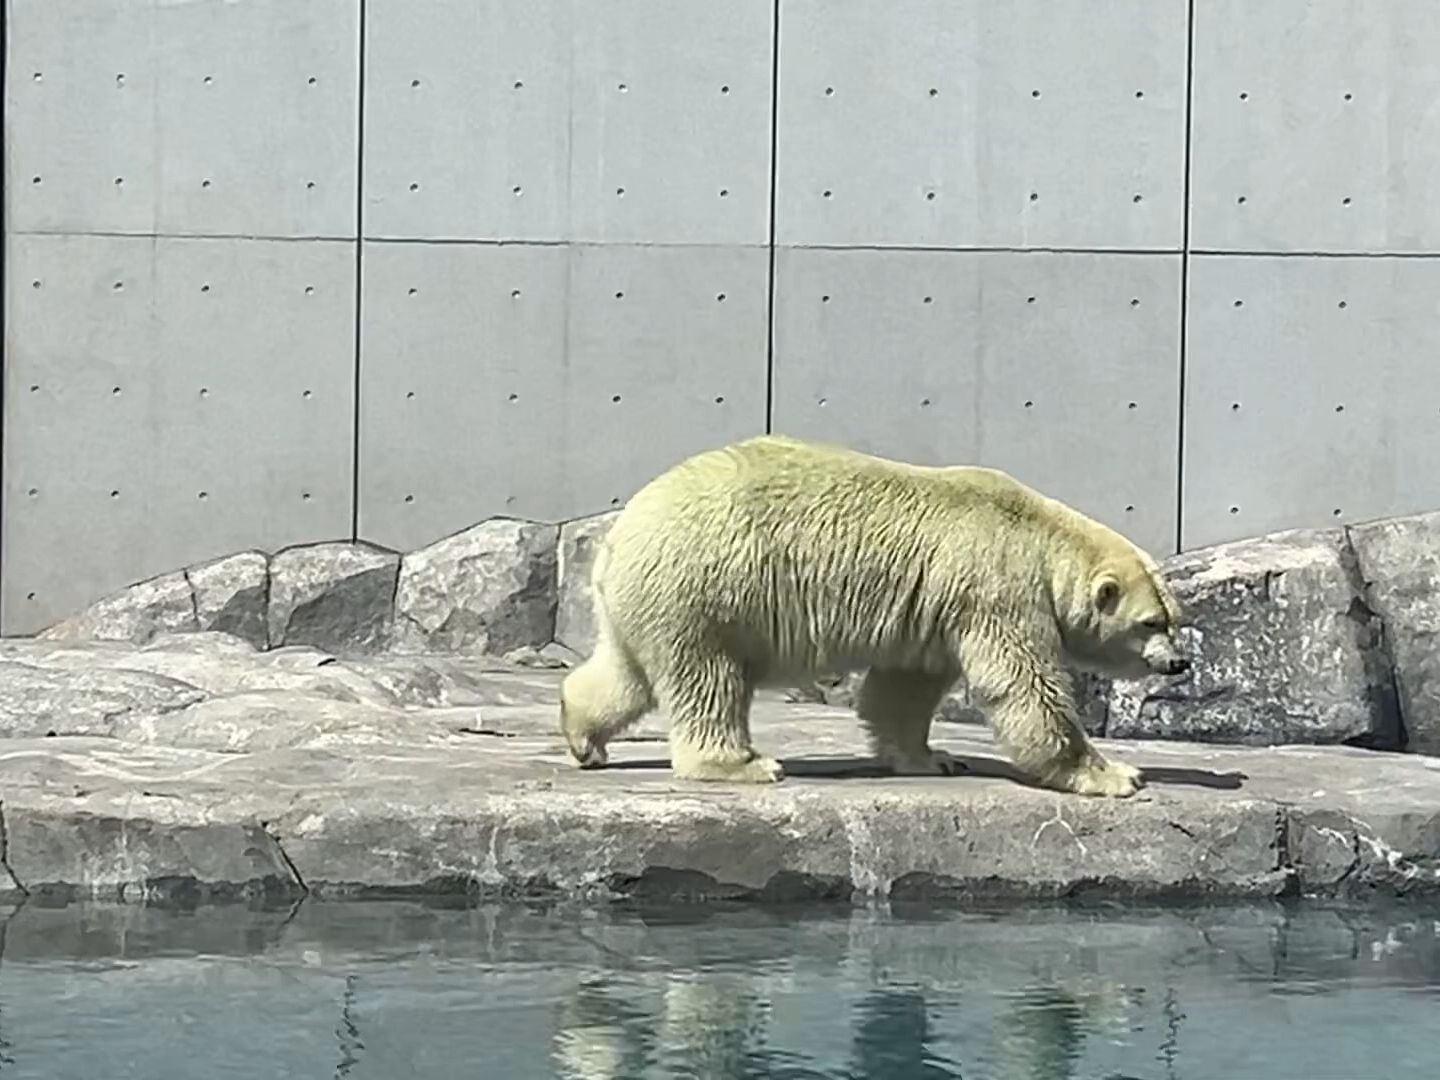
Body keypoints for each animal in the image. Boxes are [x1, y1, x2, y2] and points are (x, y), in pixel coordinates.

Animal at [555, 434, 1186, 800]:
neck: (1039, 537)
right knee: (708, 678)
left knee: (628, 671)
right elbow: (1024, 684)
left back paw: (584, 736)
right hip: (707, 587)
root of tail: (619, 535)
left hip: (653, 600)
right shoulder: (995, 589)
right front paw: (1115, 775)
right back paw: (743, 764)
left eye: (1174, 616)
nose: (1179, 664)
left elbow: (905, 687)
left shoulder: (936, 607)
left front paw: (933, 759)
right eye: (1151, 623)